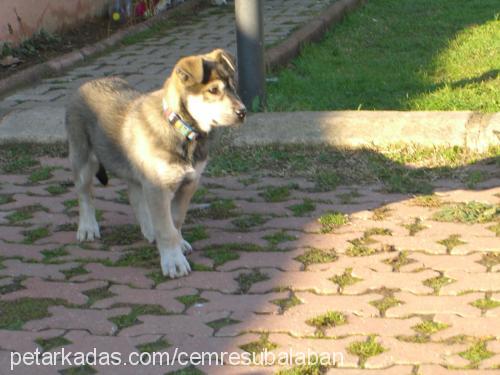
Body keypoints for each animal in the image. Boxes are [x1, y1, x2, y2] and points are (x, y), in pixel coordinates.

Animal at [66, 49, 246, 280]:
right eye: (213, 90)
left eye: (234, 86)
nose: (243, 112)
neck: (182, 129)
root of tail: (87, 83)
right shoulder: (158, 186)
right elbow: (166, 229)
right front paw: (174, 262)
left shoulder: (189, 183)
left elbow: (174, 221)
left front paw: (178, 244)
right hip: (82, 157)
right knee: (85, 194)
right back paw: (88, 228)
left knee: (135, 196)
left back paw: (149, 230)